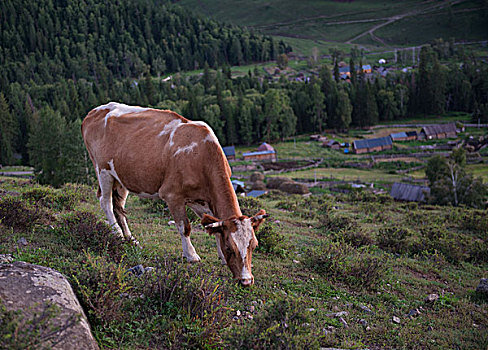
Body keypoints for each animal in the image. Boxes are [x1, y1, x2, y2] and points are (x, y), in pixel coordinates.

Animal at [82, 100, 268, 284]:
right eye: (230, 248)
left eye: (254, 245)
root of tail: (94, 111)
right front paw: (191, 255)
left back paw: (130, 238)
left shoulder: (201, 200)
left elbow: (213, 224)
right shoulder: (172, 196)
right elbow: (184, 227)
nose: (246, 280)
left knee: (119, 206)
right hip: (103, 170)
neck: (200, 154)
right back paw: (117, 234)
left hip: (121, 176)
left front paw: (221, 257)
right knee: (105, 202)